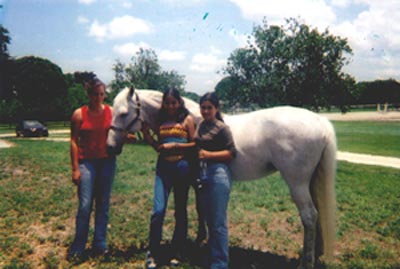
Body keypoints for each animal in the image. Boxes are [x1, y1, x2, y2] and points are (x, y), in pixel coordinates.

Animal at [104, 87, 336, 266]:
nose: (110, 147)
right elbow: (201, 210)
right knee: (316, 215)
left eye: (123, 113)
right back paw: (316, 254)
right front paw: (201, 240)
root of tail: (320, 122)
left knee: (309, 216)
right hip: (309, 182)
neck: (196, 121)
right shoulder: (198, 182)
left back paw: (306, 262)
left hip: (297, 183)